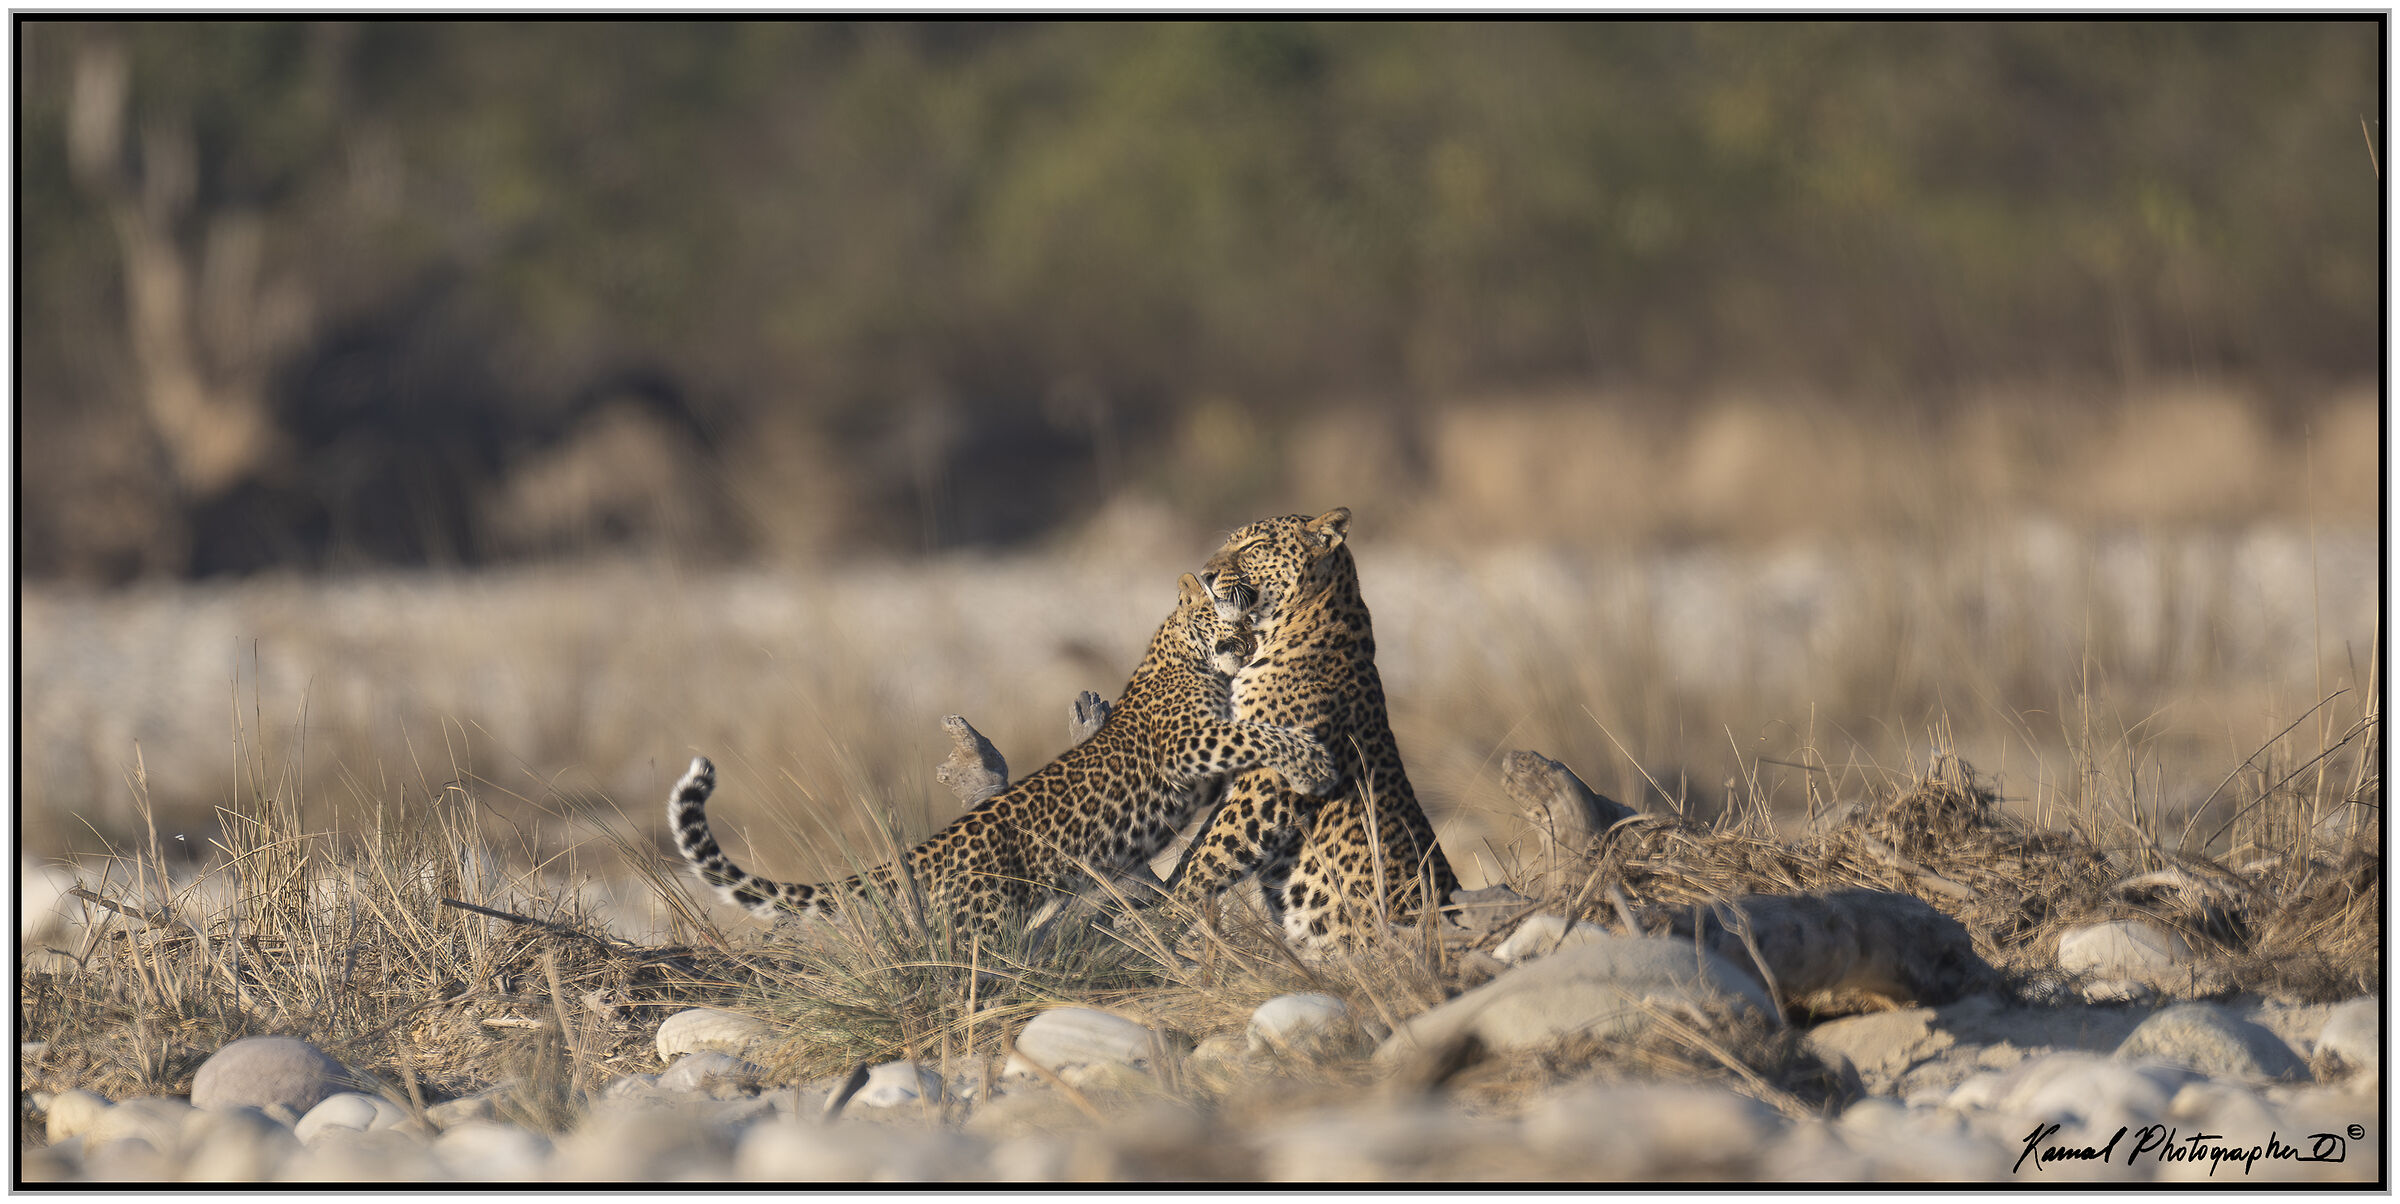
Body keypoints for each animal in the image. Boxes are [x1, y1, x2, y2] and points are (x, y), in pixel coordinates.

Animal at [668, 571, 1342, 942]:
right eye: (1230, 615)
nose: (1251, 642)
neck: (1181, 651)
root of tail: (935, 845)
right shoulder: (1187, 742)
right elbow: (1255, 733)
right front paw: (1312, 761)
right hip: (984, 918)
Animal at [1158, 507, 1459, 947]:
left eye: (1254, 545)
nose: (1206, 574)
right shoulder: (1239, 770)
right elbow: (1199, 845)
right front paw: (1153, 901)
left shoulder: (1267, 783)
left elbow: (1215, 853)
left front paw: (1159, 918)